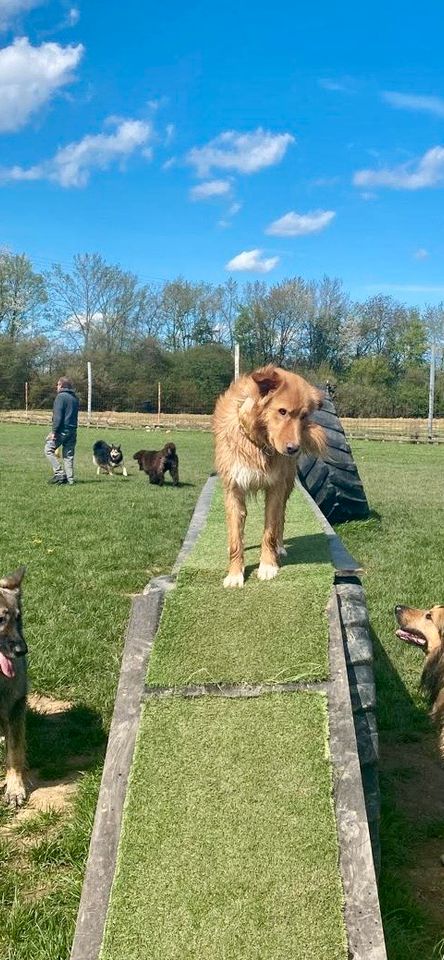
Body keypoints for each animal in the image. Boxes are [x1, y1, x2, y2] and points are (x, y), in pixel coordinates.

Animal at [214, 364, 326, 584]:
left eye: (303, 416)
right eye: (282, 411)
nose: (294, 449)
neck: (256, 443)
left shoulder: (275, 487)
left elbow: (270, 531)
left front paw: (267, 565)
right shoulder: (233, 489)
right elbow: (236, 538)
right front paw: (235, 573)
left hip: (286, 485)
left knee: (281, 519)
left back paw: (280, 547)